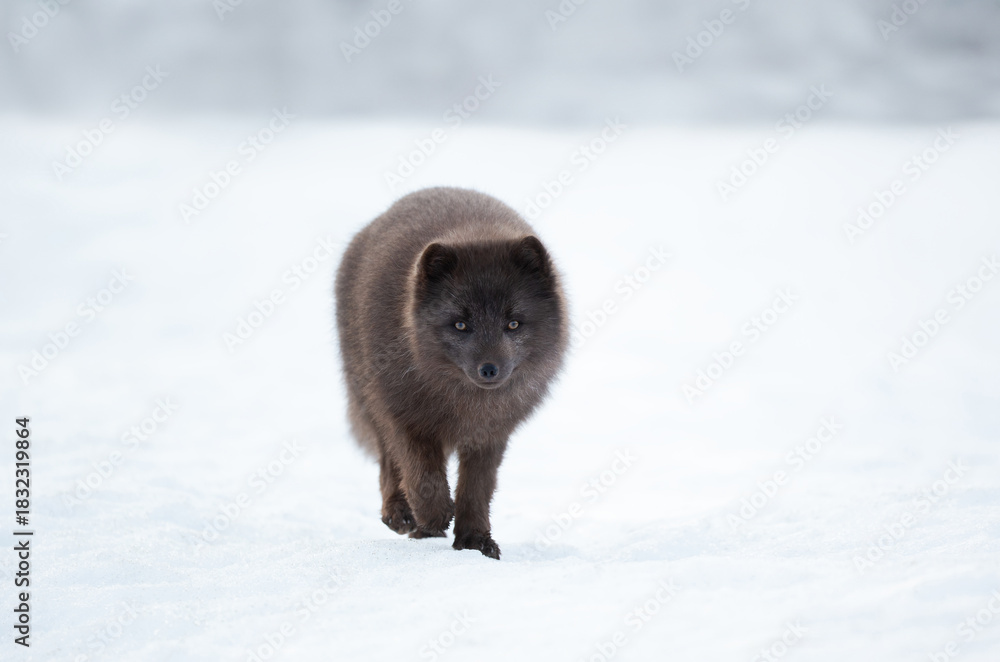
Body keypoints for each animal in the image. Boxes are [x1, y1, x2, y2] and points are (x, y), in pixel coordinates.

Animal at [334, 187, 568, 559]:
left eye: (513, 323)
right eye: (460, 324)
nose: (489, 369)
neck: (465, 403)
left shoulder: (491, 435)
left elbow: (477, 489)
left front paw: (474, 541)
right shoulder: (404, 416)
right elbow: (421, 473)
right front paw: (433, 515)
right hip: (367, 394)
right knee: (388, 459)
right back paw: (401, 515)